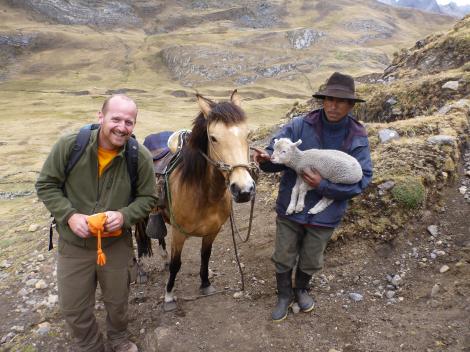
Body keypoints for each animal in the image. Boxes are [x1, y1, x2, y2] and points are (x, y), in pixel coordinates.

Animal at [147, 91, 258, 310]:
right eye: (213, 138)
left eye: (248, 134)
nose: (243, 190)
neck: (205, 195)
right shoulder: (179, 234)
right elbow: (177, 264)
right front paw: (169, 295)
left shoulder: (212, 231)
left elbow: (205, 256)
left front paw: (205, 283)